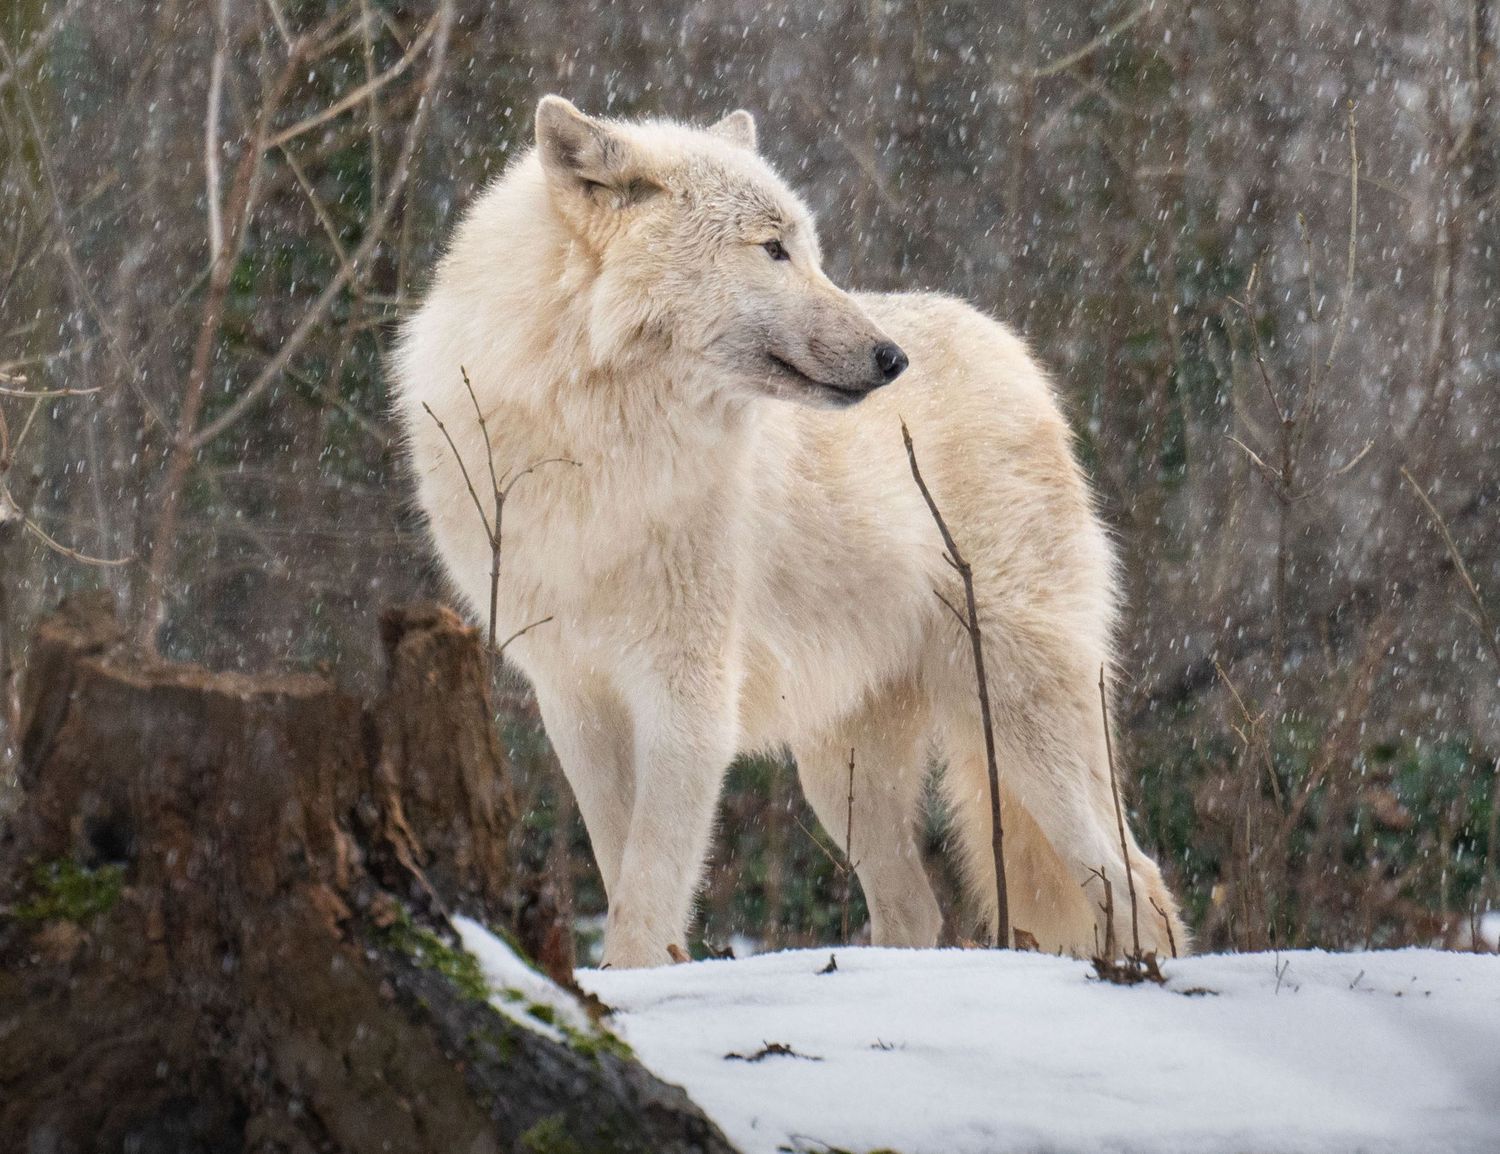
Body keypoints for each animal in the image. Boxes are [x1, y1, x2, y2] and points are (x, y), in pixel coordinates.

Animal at [393, 96, 1188, 968]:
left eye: (810, 251)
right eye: (771, 248)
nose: (891, 358)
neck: (598, 439)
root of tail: (1020, 358)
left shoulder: (689, 696)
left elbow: (646, 893)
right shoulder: (574, 697)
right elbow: (617, 865)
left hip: (1019, 720)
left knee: (1138, 881)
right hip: (842, 771)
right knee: (917, 908)